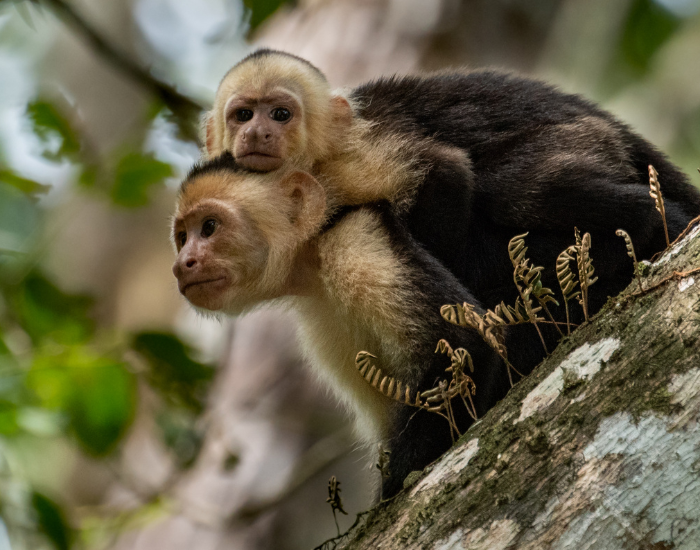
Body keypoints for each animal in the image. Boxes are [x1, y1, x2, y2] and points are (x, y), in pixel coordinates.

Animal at [172, 153, 507, 499]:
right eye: (182, 238)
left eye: (209, 227)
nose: (181, 265)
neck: (310, 260)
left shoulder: (354, 239)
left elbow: (464, 343)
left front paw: (392, 490)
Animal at [203, 50, 700, 375]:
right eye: (243, 115)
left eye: (280, 114)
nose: (258, 133)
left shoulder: (349, 162)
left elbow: (446, 172)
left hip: (585, 139)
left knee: (513, 189)